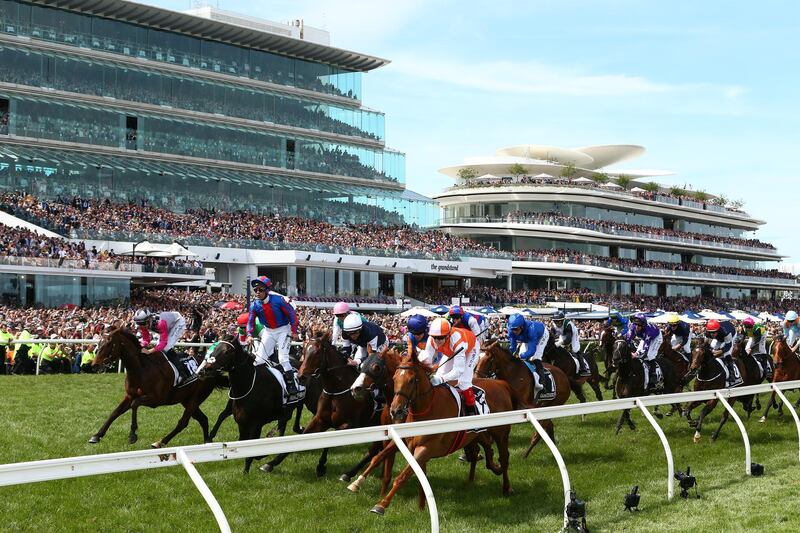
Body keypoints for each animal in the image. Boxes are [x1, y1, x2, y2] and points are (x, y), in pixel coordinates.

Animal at [90, 326, 219, 446]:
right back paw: (207, 442)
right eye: (98, 343)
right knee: (203, 419)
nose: (94, 365)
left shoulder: (156, 400)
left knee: (183, 423)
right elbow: (115, 412)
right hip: (186, 400)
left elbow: (134, 404)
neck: (140, 370)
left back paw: (161, 442)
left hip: (195, 398)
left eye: (108, 344)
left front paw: (132, 435)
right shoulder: (129, 396)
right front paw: (97, 435)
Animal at [258, 332, 380, 478]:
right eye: (304, 351)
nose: (301, 377)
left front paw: (321, 466)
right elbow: (302, 436)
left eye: (317, 353)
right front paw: (271, 463)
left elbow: (329, 441)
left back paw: (349, 474)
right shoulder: (320, 419)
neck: (336, 390)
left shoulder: (351, 425)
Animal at [370, 354, 520, 516]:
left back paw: (507, 487)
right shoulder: (415, 447)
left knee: (503, 458)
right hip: (477, 433)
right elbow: (418, 477)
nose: (395, 410)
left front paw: (381, 505)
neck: (427, 409)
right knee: (481, 451)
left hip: (501, 432)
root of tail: (501, 383)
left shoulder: (427, 448)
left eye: (411, 380)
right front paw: (421, 508)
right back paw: (476, 478)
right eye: (394, 378)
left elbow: (403, 476)